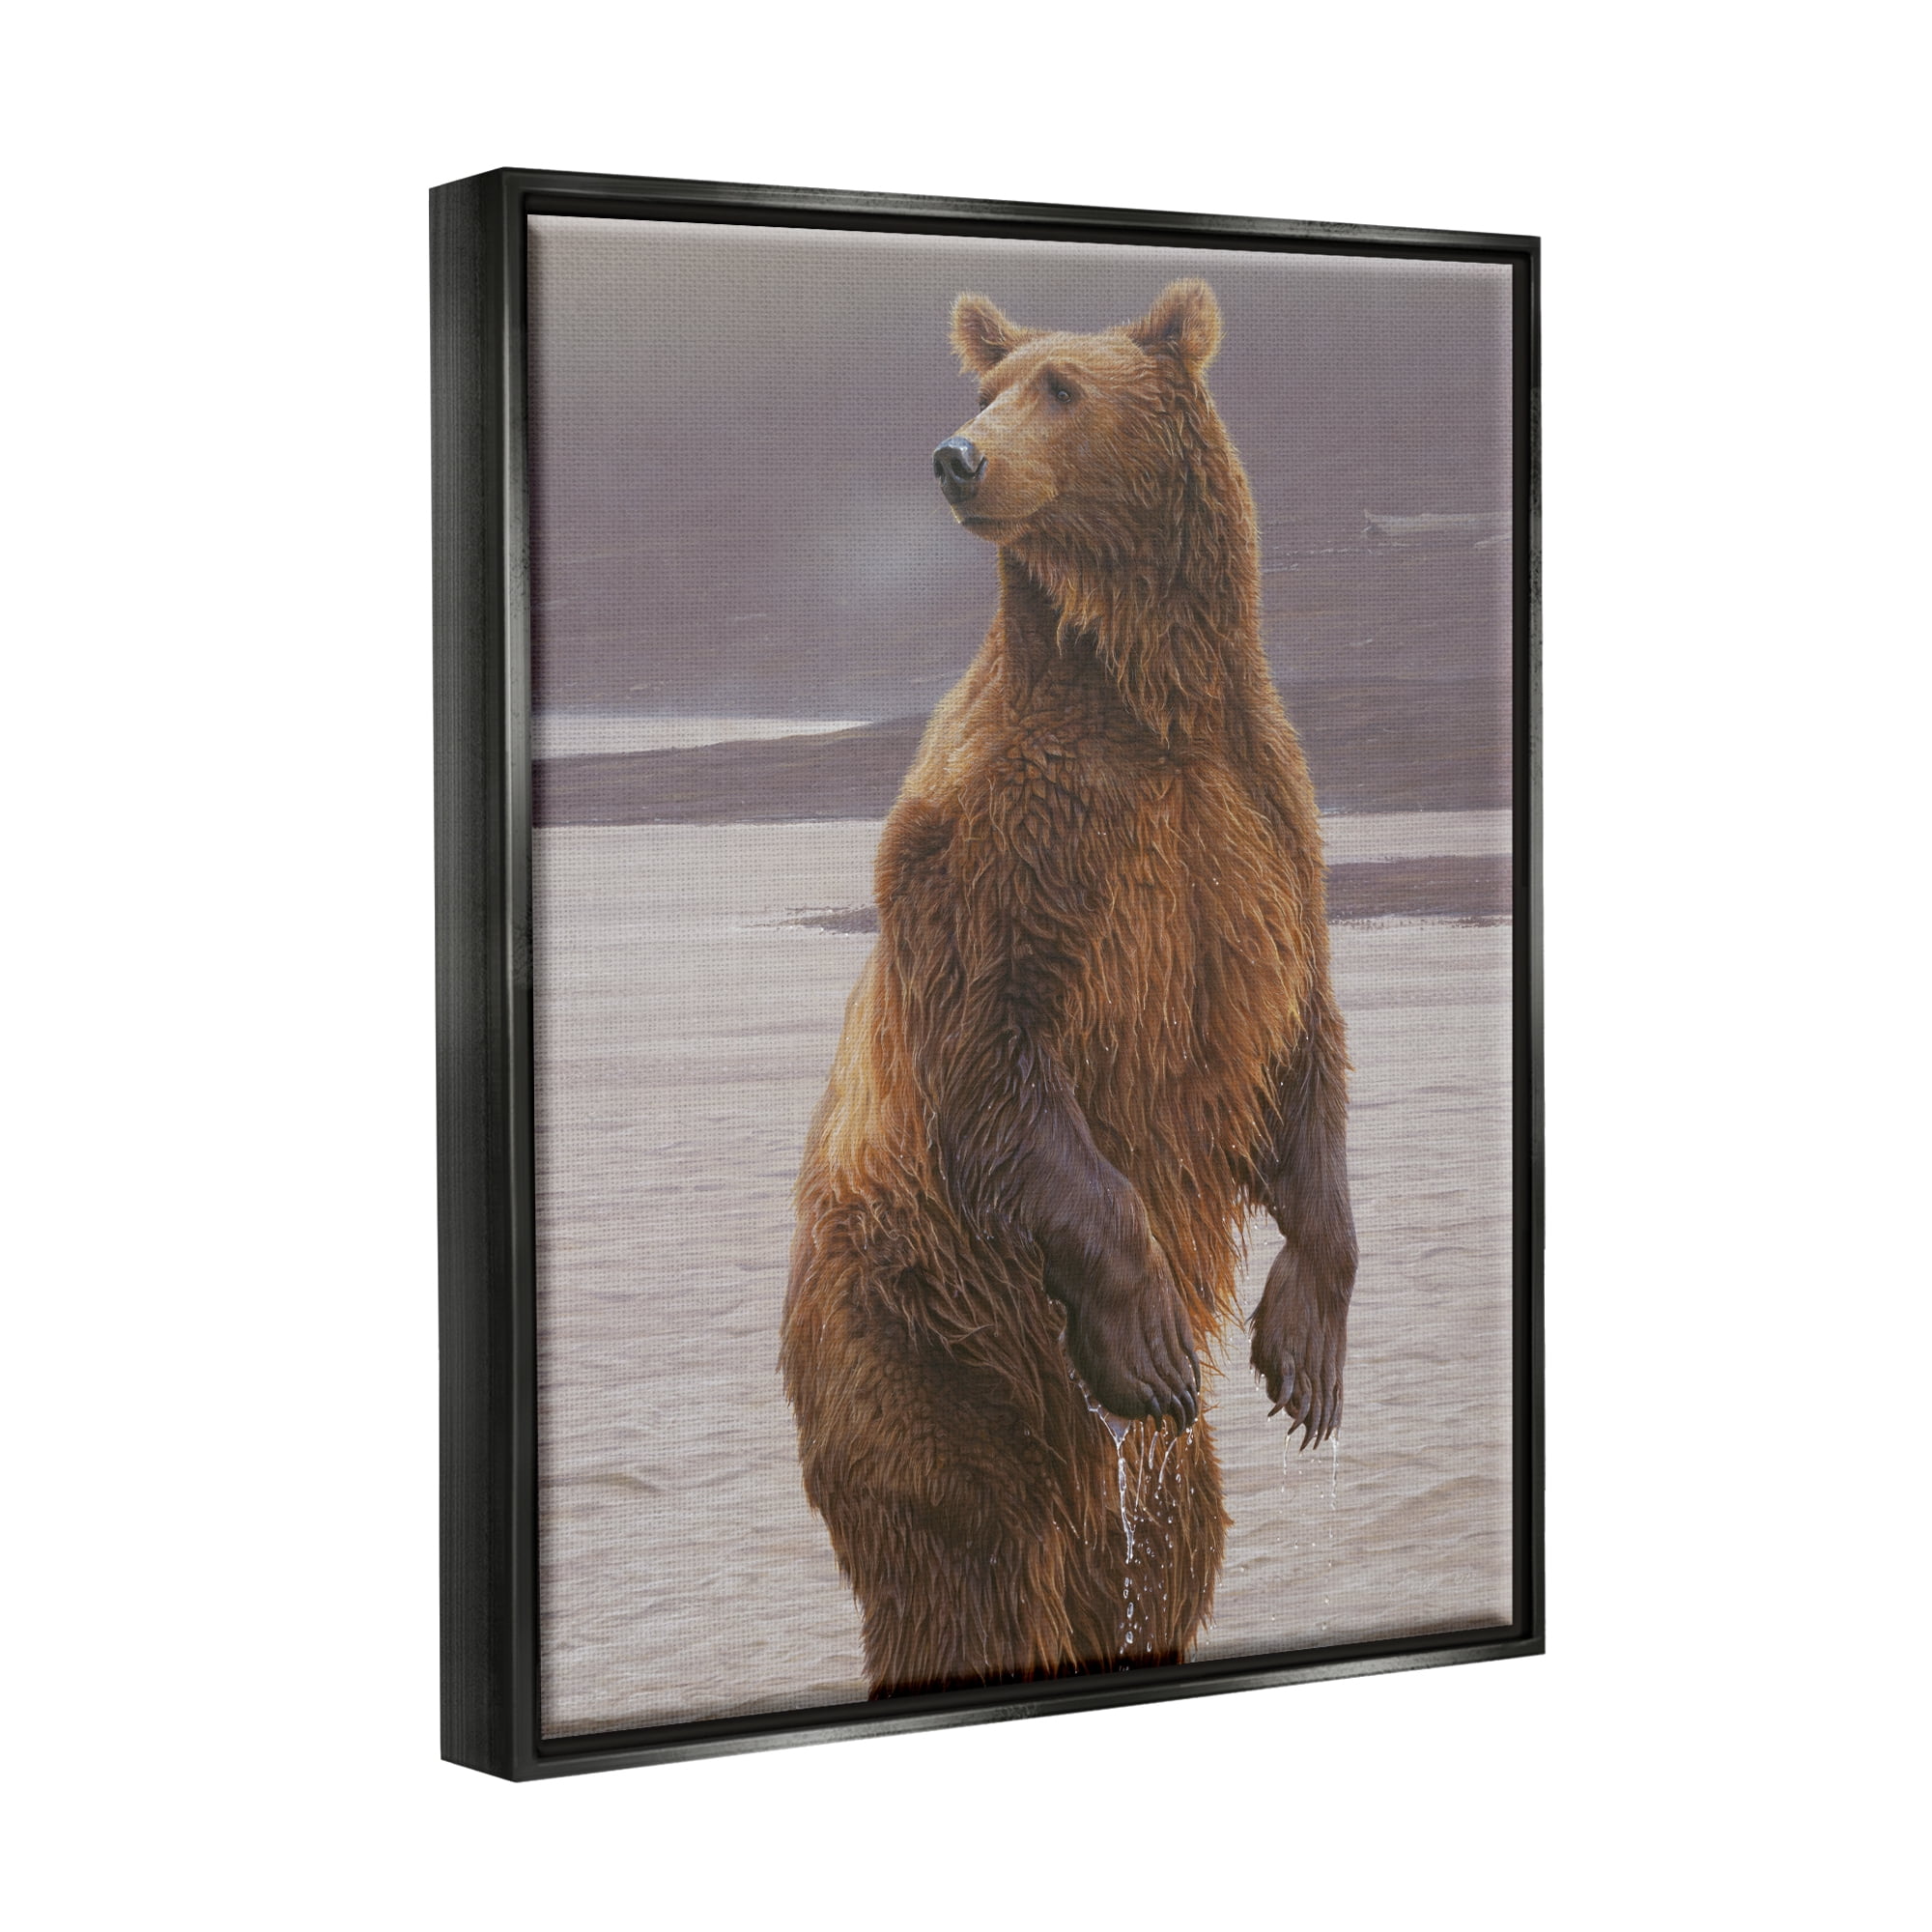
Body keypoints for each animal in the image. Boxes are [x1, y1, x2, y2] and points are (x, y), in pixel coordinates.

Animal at [779, 279, 1357, 1697]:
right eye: (991, 387)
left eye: (1059, 388)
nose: (954, 455)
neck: (1142, 693)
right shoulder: (1006, 836)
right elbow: (996, 1055)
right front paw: (1147, 1325)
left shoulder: (1262, 825)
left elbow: (1299, 1046)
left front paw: (1306, 1345)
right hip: (920, 1344)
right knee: (962, 1569)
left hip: (1117, 1458)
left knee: (1168, 1545)